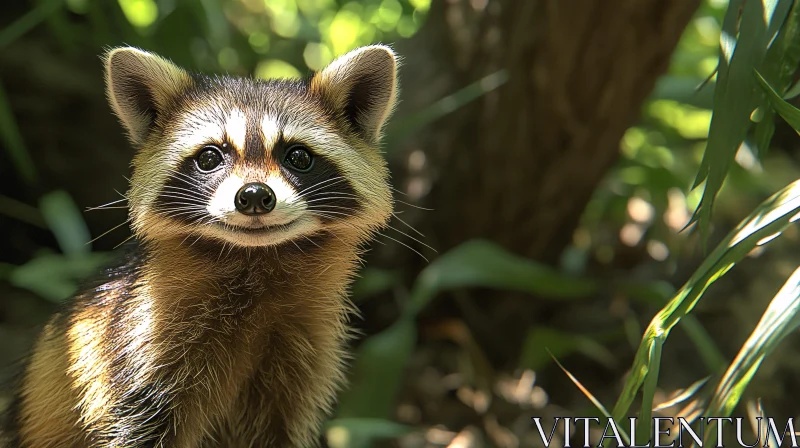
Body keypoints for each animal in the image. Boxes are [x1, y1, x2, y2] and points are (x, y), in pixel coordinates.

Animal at [8, 43, 400, 446]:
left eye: (298, 157)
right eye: (210, 157)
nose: (254, 196)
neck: (255, 258)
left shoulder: (305, 353)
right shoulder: (138, 344)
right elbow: (135, 425)